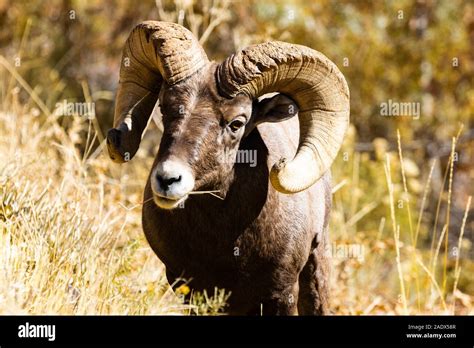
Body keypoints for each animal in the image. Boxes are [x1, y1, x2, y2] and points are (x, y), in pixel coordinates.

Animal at [108, 21, 352, 316]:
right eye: (165, 109)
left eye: (237, 123)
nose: (167, 179)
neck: (226, 243)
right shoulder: (191, 291)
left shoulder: (281, 294)